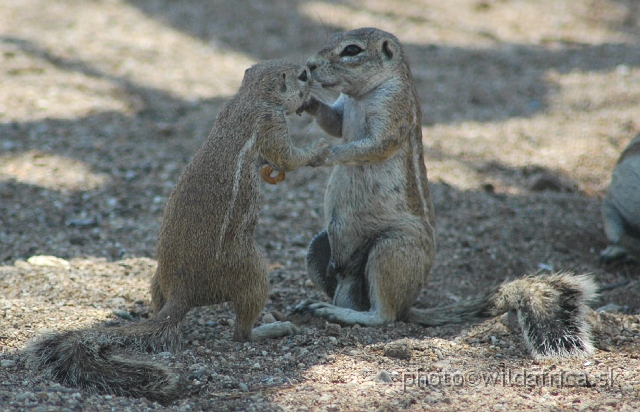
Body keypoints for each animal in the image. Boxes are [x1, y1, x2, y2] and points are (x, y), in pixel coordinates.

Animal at [28, 59, 330, 404]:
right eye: (302, 76)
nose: (312, 75)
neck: (251, 96)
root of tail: (183, 293)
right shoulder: (271, 123)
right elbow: (288, 157)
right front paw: (319, 148)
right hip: (253, 270)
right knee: (241, 334)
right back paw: (271, 328)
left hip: (158, 281)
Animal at [298, 26, 596, 360]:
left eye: (351, 50)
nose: (308, 66)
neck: (362, 95)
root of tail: (410, 305)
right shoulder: (343, 112)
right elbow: (333, 124)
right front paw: (307, 101)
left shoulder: (393, 112)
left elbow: (371, 146)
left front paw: (323, 154)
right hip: (322, 246)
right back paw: (323, 305)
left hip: (392, 249)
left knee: (385, 315)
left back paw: (341, 314)